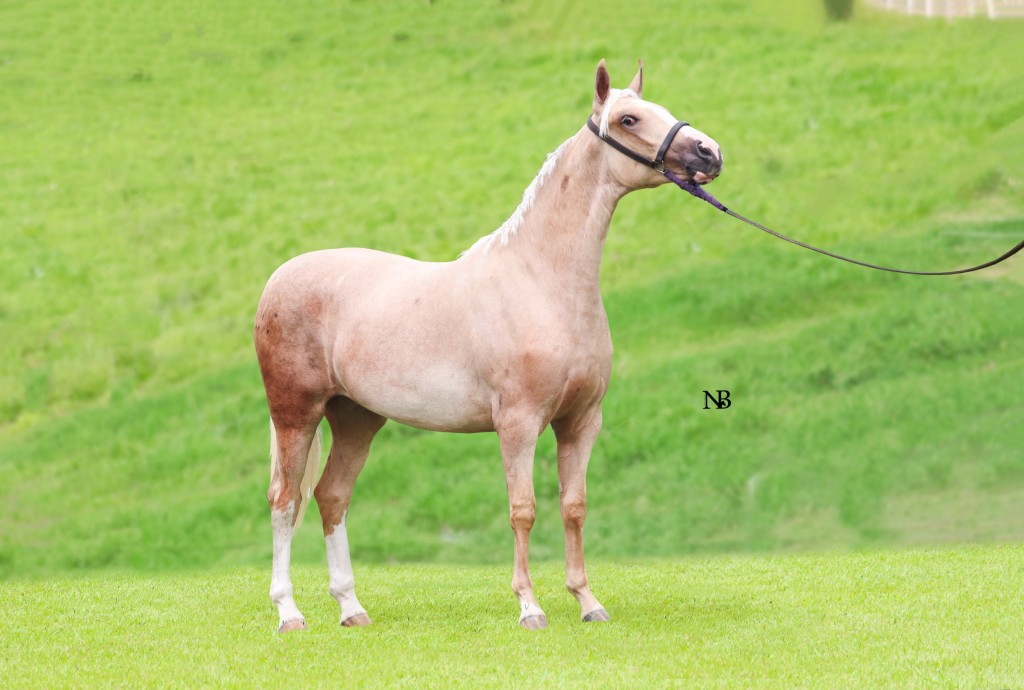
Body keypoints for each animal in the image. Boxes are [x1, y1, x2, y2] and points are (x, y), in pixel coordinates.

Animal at [254, 59, 723, 632]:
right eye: (629, 119)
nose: (709, 153)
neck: (540, 281)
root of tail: (279, 279)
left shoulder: (581, 422)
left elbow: (574, 506)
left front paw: (587, 602)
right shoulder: (517, 424)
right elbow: (523, 509)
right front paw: (530, 606)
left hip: (356, 418)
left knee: (330, 496)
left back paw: (351, 607)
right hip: (296, 415)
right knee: (284, 500)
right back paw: (288, 612)